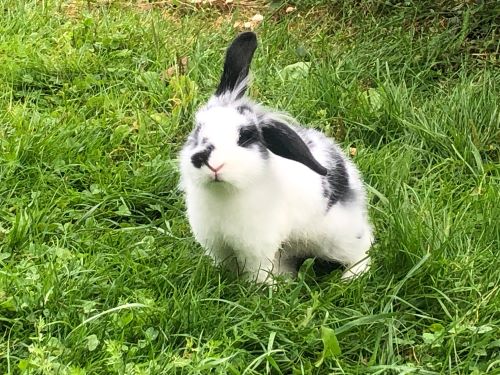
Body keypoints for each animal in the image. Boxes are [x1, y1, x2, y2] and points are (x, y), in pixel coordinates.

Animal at [179, 32, 372, 284]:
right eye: (198, 130)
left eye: (245, 137)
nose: (206, 160)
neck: (225, 193)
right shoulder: (218, 246)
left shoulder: (256, 247)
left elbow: (257, 271)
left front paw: (259, 289)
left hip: (338, 236)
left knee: (363, 246)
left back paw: (351, 277)